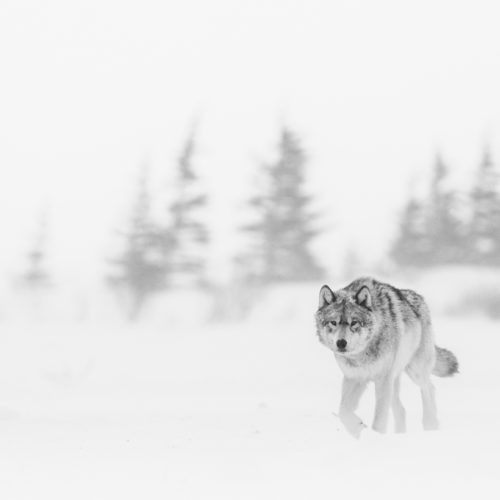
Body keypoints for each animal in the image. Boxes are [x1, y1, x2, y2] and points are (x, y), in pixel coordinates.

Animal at [314, 278, 458, 438]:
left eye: (354, 322)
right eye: (333, 322)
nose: (341, 343)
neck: (361, 354)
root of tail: (419, 298)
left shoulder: (382, 379)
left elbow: (379, 418)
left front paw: (376, 436)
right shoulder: (354, 378)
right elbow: (343, 411)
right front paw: (357, 427)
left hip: (415, 371)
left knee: (429, 388)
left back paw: (430, 424)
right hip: (394, 381)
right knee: (402, 410)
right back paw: (400, 434)